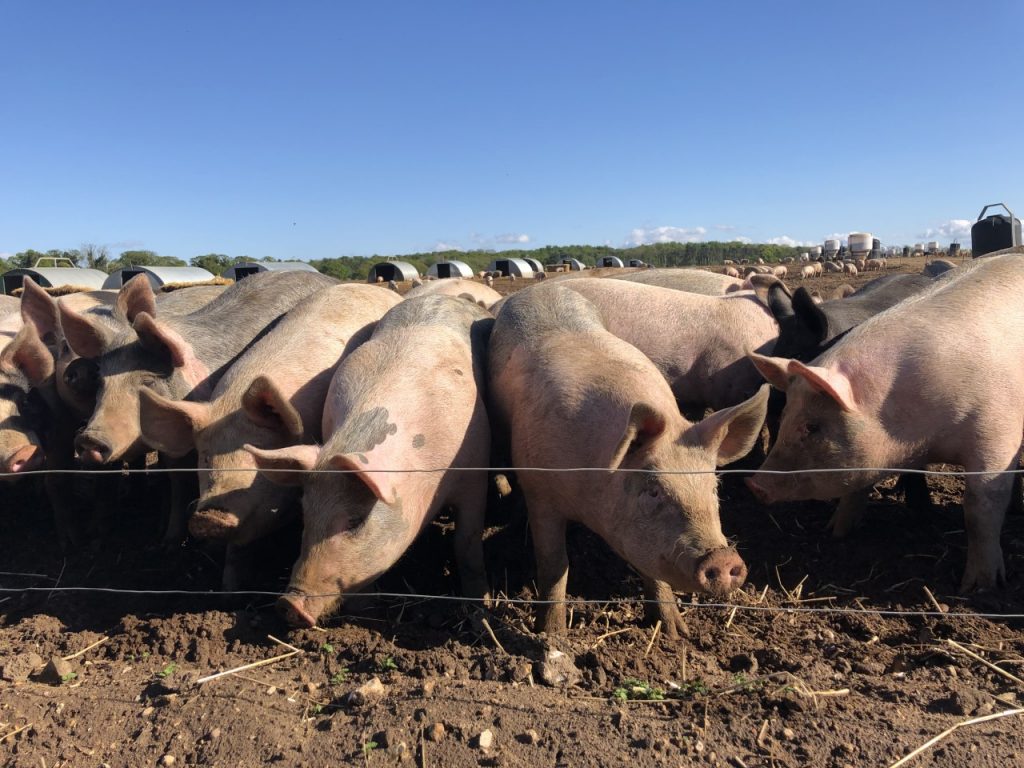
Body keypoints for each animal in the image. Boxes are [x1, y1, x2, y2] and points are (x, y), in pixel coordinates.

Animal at [243, 296, 491, 626]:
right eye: (305, 514)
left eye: (356, 520)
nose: (289, 604)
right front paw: (365, 610)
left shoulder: (476, 473)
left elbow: (466, 544)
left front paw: (480, 609)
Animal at [487, 286, 770, 638]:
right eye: (653, 490)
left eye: (714, 486)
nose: (723, 558)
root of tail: (538, 287)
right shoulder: (540, 493)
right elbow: (555, 564)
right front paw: (551, 635)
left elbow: (652, 570)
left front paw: (676, 634)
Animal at [745, 256, 1024, 593]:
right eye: (787, 415)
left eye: (813, 427)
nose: (754, 484)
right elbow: (858, 488)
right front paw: (834, 531)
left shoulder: (997, 434)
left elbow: (981, 506)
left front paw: (977, 587)